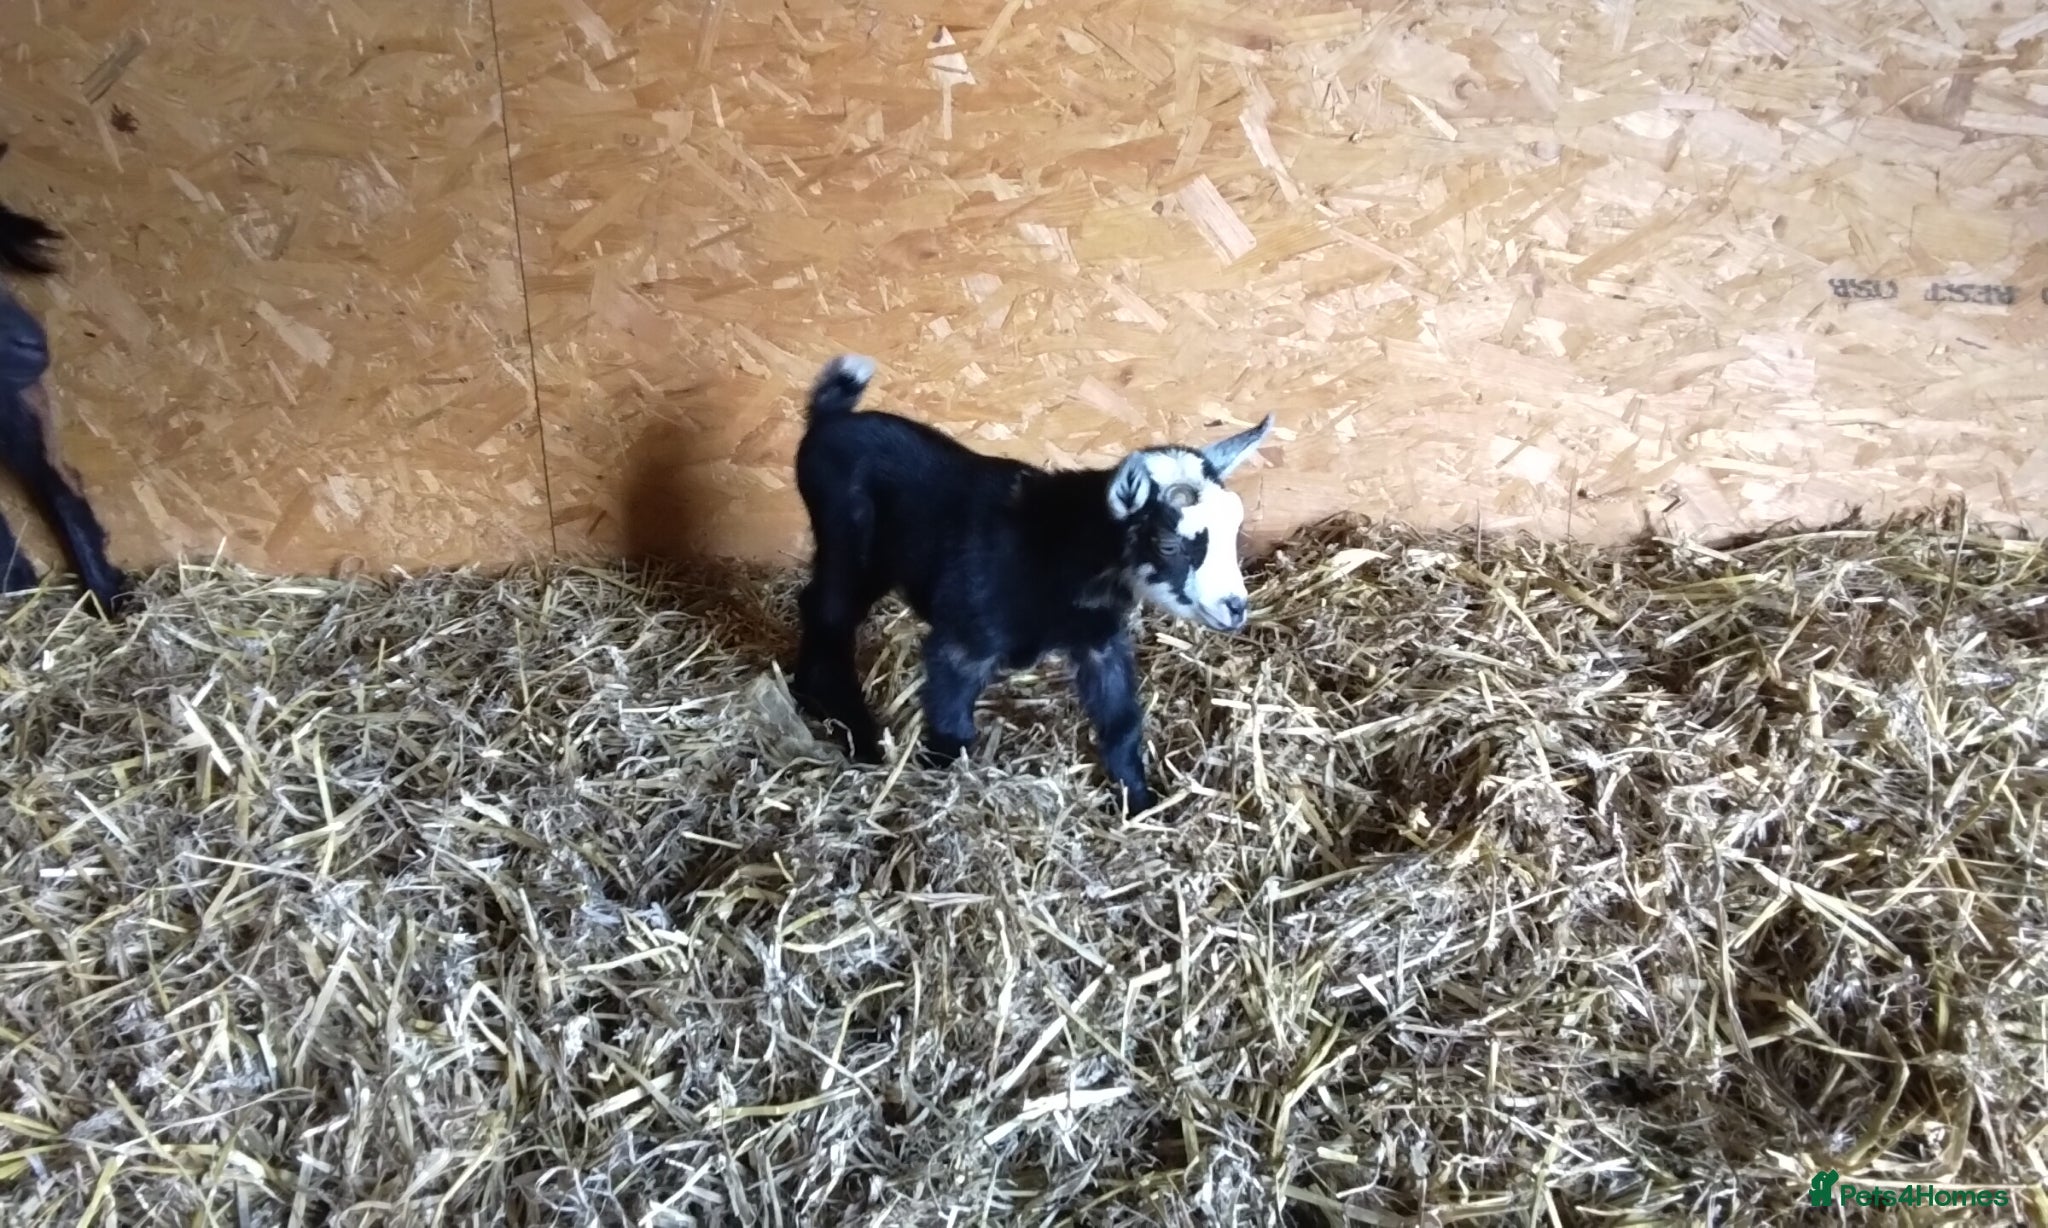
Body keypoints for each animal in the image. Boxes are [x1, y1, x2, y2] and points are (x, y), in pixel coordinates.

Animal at [789, 354, 1274, 812]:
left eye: (1235, 529)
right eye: (1169, 544)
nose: (1235, 606)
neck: (1059, 551)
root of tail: (829, 418)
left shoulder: (1100, 641)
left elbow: (1121, 723)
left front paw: (1138, 802)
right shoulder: (964, 643)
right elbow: (951, 724)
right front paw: (942, 787)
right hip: (846, 539)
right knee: (827, 614)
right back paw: (858, 734)